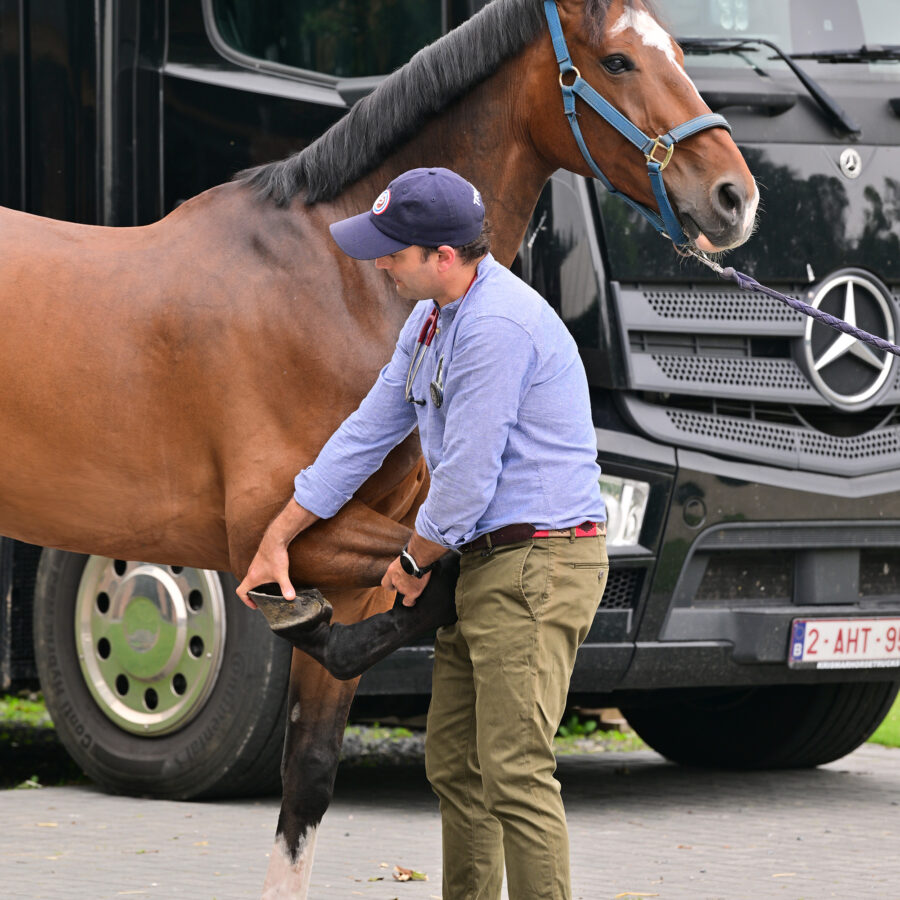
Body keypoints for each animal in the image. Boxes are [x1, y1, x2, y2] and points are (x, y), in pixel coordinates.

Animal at [0, 0, 758, 895]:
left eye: (679, 50)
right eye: (617, 62)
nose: (735, 197)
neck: (333, 279)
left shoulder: (348, 559)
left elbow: (311, 769)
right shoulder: (274, 530)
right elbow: (441, 581)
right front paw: (307, 623)